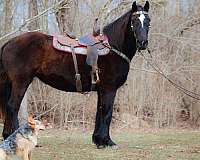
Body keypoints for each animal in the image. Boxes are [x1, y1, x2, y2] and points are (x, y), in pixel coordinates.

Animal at [0, 1, 150, 148]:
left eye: (148, 21)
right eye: (135, 21)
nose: (143, 43)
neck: (113, 48)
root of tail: (9, 43)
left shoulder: (101, 90)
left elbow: (99, 113)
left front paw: (99, 140)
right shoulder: (109, 89)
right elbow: (107, 113)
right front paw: (108, 141)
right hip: (21, 82)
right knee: (12, 107)